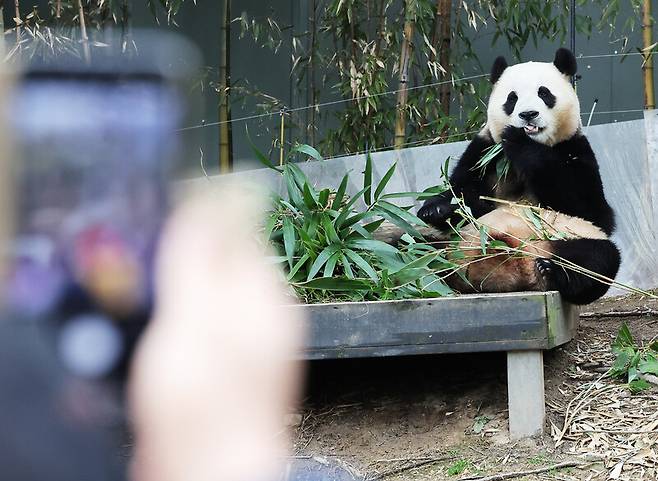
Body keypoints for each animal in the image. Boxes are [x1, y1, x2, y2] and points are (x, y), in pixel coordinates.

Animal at [412, 48, 616, 304]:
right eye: (512, 98)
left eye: (544, 93)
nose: (528, 115)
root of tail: (514, 268)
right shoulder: (484, 152)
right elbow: (466, 194)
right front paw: (436, 208)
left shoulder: (576, 150)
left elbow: (591, 210)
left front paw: (520, 141)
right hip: (453, 244)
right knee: (411, 246)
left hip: (569, 238)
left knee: (598, 260)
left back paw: (552, 272)